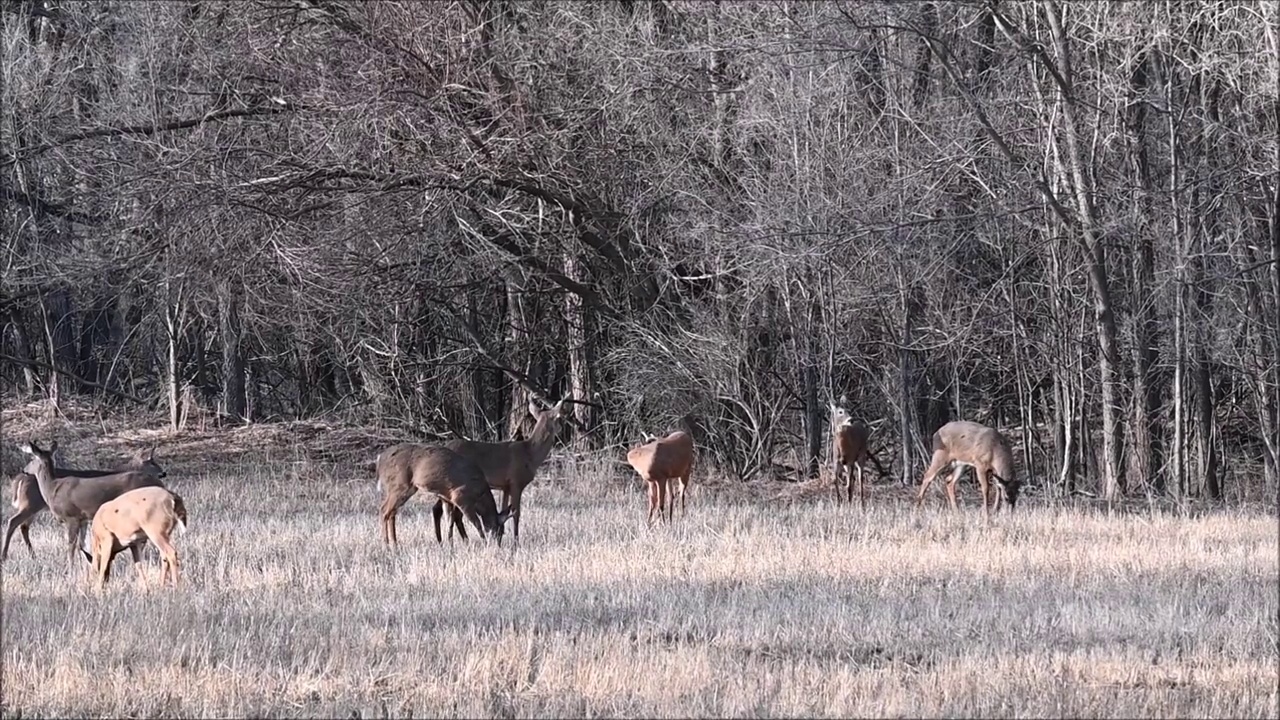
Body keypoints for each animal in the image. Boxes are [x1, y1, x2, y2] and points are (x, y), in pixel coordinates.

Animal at [19, 438, 172, 571]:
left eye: (31, 458)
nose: (24, 470)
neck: (51, 488)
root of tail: (160, 484)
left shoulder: (71, 517)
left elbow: (71, 545)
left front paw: (70, 568)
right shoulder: (83, 519)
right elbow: (81, 544)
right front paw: (88, 563)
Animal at [373, 440, 509, 545]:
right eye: (500, 531)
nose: (498, 545)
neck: (480, 495)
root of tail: (380, 459)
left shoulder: (447, 498)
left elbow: (449, 522)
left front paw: (450, 545)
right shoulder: (461, 497)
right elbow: (477, 523)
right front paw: (484, 543)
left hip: (403, 487)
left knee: (391, 512)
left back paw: (394, 544)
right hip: (400, 485)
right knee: (384, 509)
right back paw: (386, 544)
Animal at [432, 394, 568, 540]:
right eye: (559, 417)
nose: (562, 428)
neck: (530, 454)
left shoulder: (505, 486)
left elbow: (503, 512)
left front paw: (500, 538)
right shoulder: (516, 482)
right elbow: (516, 513)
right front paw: (516, 541)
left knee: (441, 510)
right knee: (449, 512)